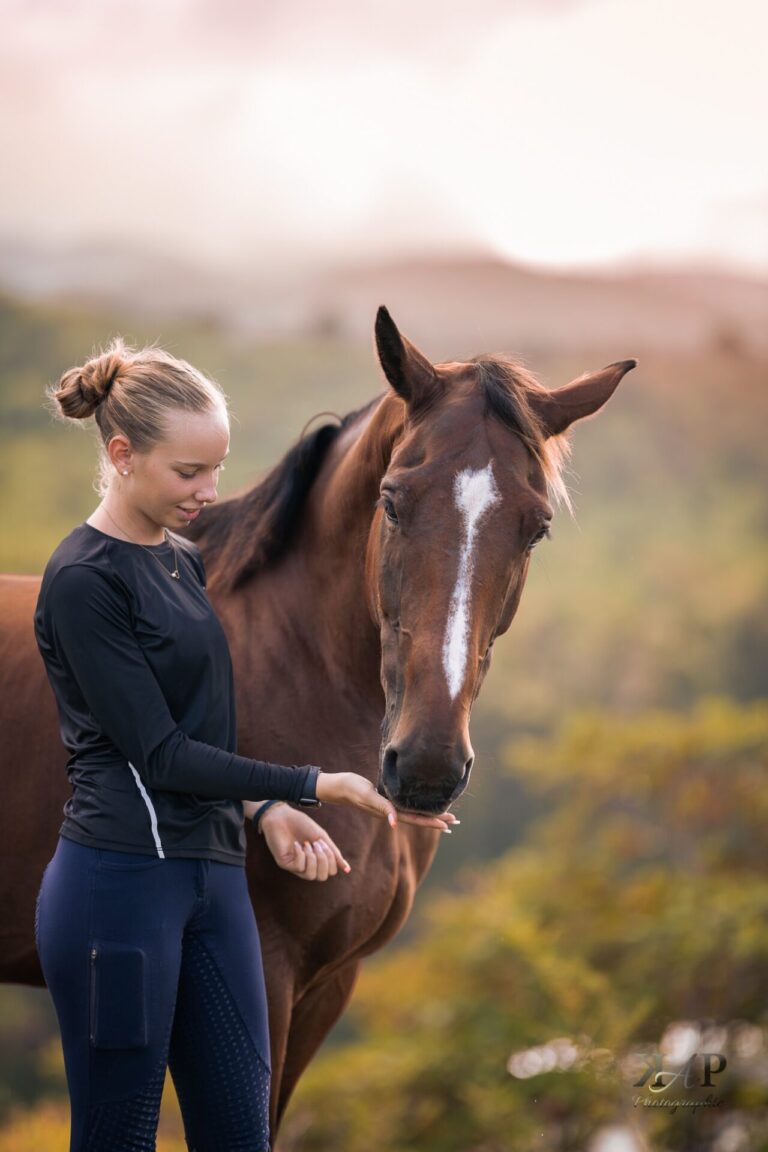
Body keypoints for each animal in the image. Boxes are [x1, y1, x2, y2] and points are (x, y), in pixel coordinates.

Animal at [0, 306, 635, 1133]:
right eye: (393, 500)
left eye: (536, 528)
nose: (426, 767)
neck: (298, 666)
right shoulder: (264, 975)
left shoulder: (328, 986)